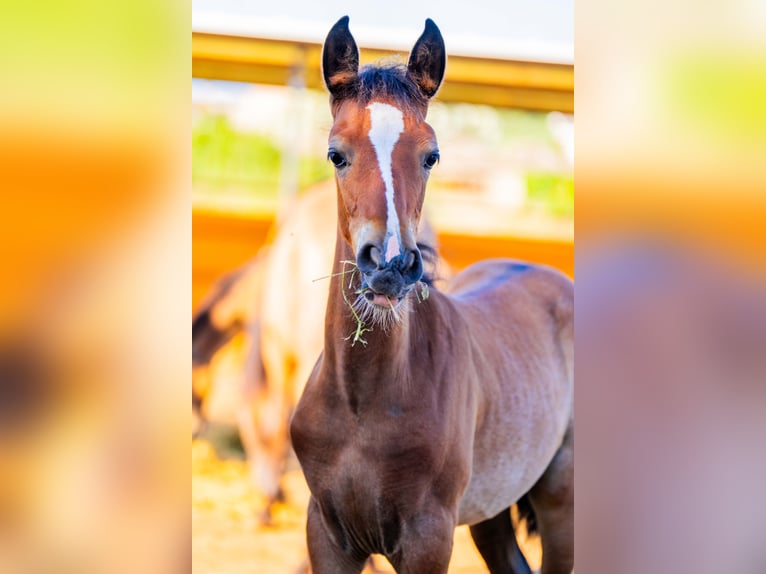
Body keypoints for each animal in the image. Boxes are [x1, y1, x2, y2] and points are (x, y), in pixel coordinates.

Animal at [290, 16, 574, 574]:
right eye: (336, 154)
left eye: (431, 156)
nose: (390, 266)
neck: (363, 401)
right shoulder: (327, 535)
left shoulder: (428, 538)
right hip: (492, 512)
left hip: (561, 502)